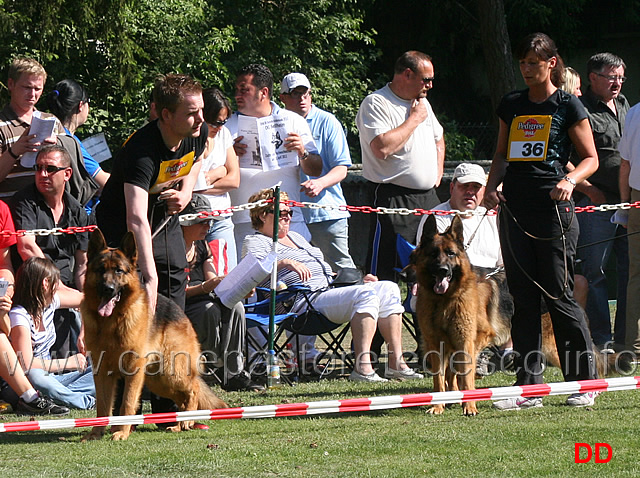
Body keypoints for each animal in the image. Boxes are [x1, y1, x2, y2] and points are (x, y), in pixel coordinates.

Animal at [81, 228, 228, 440]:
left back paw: (186, 421)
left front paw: (121, 432)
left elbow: (127, 403)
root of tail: (180, 311)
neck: (111, 321)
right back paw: (180, 423)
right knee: (182, 398)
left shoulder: (132, 370)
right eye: (101, 270)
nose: (108, 289)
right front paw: (96, 432)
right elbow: (103, 406)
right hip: (158, 380)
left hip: (170, 372)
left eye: (119, 270)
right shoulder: (101, 372)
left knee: (193, 389)